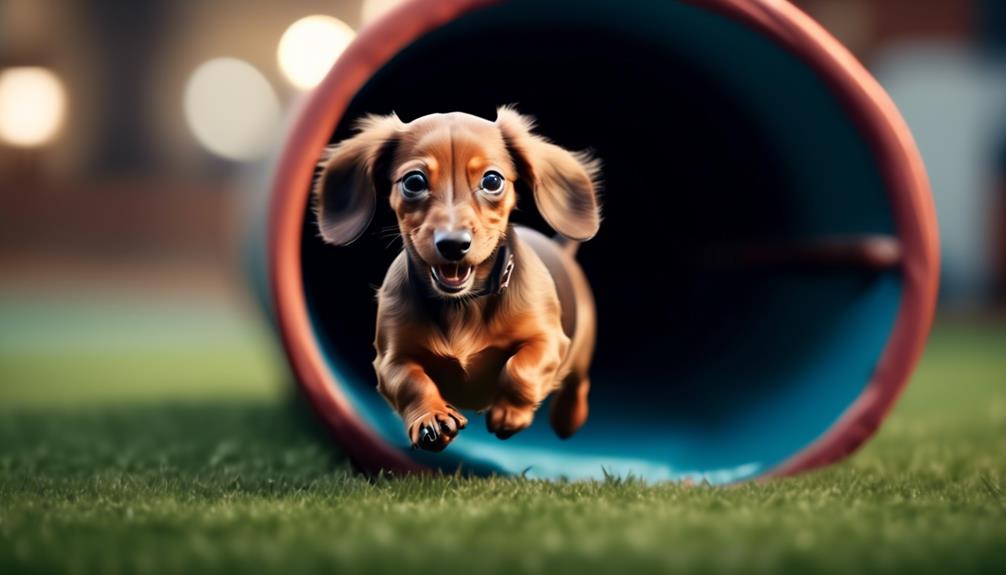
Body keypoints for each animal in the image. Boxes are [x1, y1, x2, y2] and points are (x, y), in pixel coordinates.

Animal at [311, 105, 595, 452]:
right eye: (414, 181)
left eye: (492, 180)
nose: (453, 245)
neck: (462, 304)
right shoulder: (391, 360)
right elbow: (412, 383)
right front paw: (431, 419)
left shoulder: (549, 341)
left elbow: (520, 368)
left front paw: (509, 413)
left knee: (578, 384)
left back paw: (569, 419)